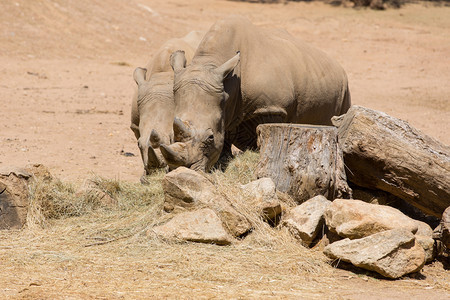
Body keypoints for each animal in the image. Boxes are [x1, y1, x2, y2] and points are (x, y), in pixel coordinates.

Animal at [159, 16, 352, 171]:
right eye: (172, 134)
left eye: (210, 137)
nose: (181, 169)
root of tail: (339, 66)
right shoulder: (225, 107)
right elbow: (225, 136)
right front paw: (222, 162)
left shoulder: (272, 107)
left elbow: (262, 133)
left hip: (345, 87)